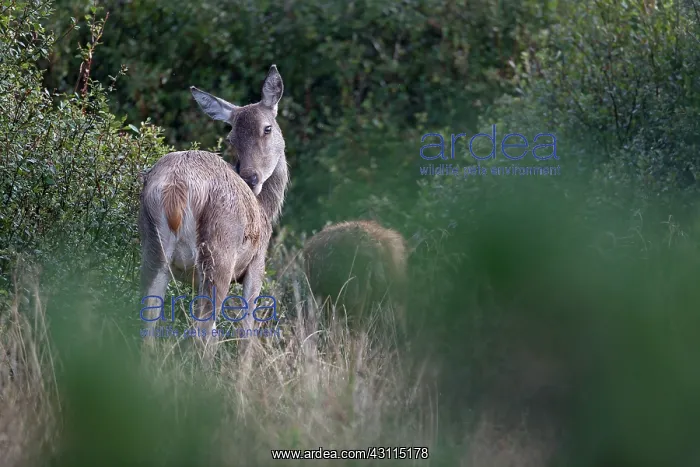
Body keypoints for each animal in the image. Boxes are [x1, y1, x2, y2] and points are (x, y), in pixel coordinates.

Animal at [138, 65, 288, 363]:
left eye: (267, 128)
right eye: (231, 137)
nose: (250, 177)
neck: (266, 211)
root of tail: (176, 187)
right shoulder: (257, 263)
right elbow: (245, 335)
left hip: (153, 247)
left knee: (147, 327)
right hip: (220, 251)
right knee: (204, 335)